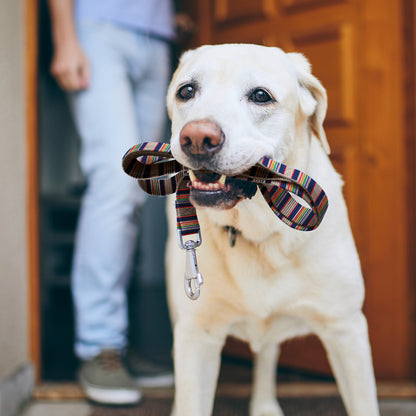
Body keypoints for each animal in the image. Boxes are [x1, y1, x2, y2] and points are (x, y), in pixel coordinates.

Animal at [164, 43, 378, 416]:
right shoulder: (197, 335)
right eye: (186, 91)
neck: (261, 233)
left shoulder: (346, 329)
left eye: (261, 96)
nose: (197, 137)